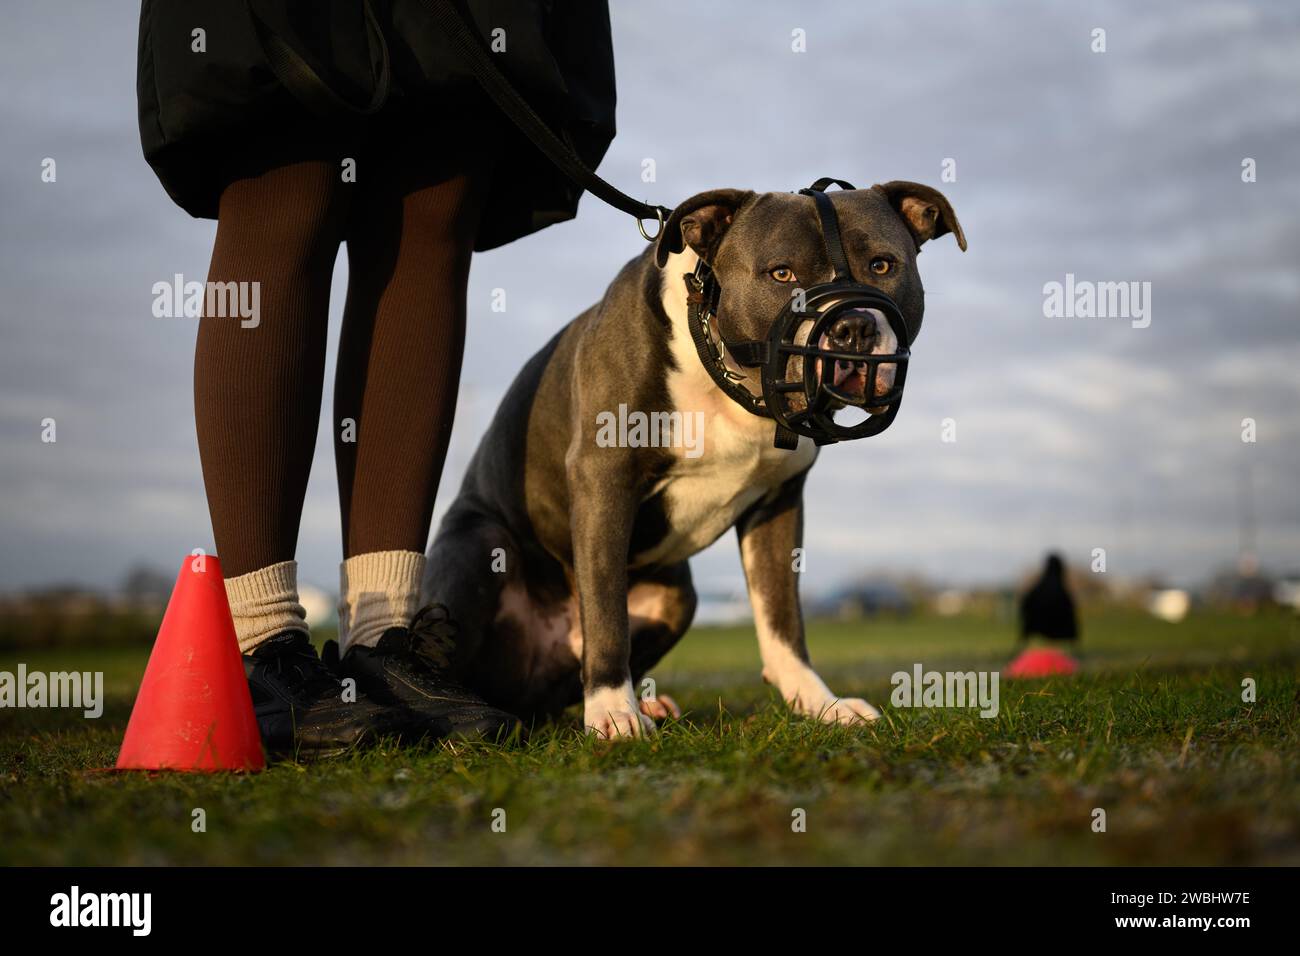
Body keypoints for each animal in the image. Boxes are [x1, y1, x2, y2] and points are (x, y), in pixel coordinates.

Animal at [421, 180, 961, 738]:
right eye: (781, 273)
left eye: (882, 265)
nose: (852, 327)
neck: (730, 377)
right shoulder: (603, 476)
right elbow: (607, 612)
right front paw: (613, 713)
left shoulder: (778, 504)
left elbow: (782, 616)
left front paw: (820, 704)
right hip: (479, 546)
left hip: (678, 596)